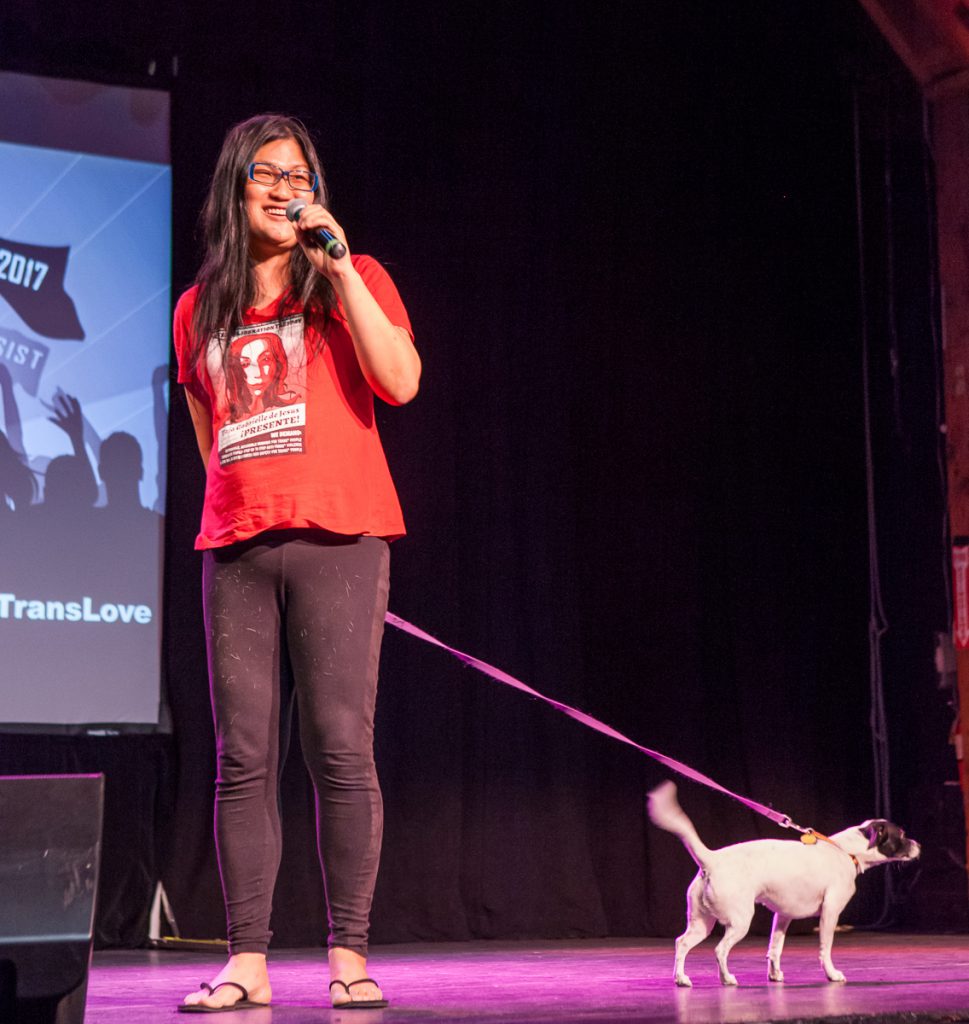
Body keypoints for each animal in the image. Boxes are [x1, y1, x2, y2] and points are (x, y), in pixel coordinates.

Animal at [647, 778, 917, 987]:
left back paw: (681, 978)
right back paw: (727, 978)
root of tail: (712, 859)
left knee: (681, 943)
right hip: (739, 922)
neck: (844, 850)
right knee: (719, 950)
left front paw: (774, 974)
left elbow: (774, 948)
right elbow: (825, 949)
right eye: (902, 835)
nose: (919, 845)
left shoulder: (783, 915)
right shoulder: (830, 913)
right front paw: (831, 974)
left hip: (701, 924)